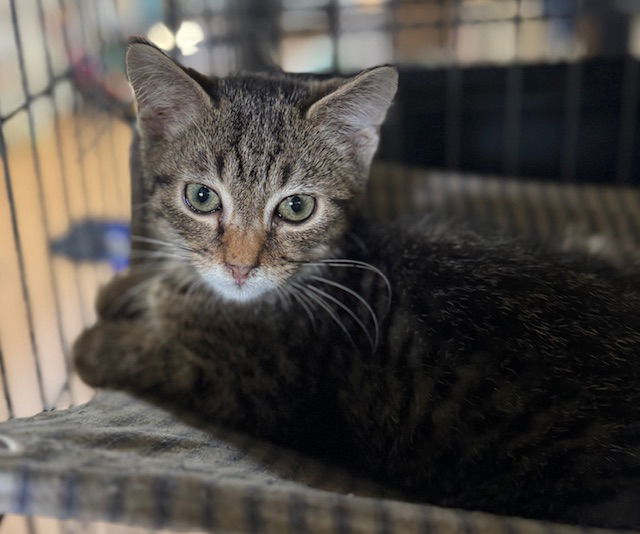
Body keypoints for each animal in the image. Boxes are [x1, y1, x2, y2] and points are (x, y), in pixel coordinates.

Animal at [74, 37, 640, 529]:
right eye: (200, 197)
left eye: (297, 207)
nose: (240, 266)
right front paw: (126, 288)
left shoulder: (253, 386)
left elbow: (152, 359)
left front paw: (94, 343)